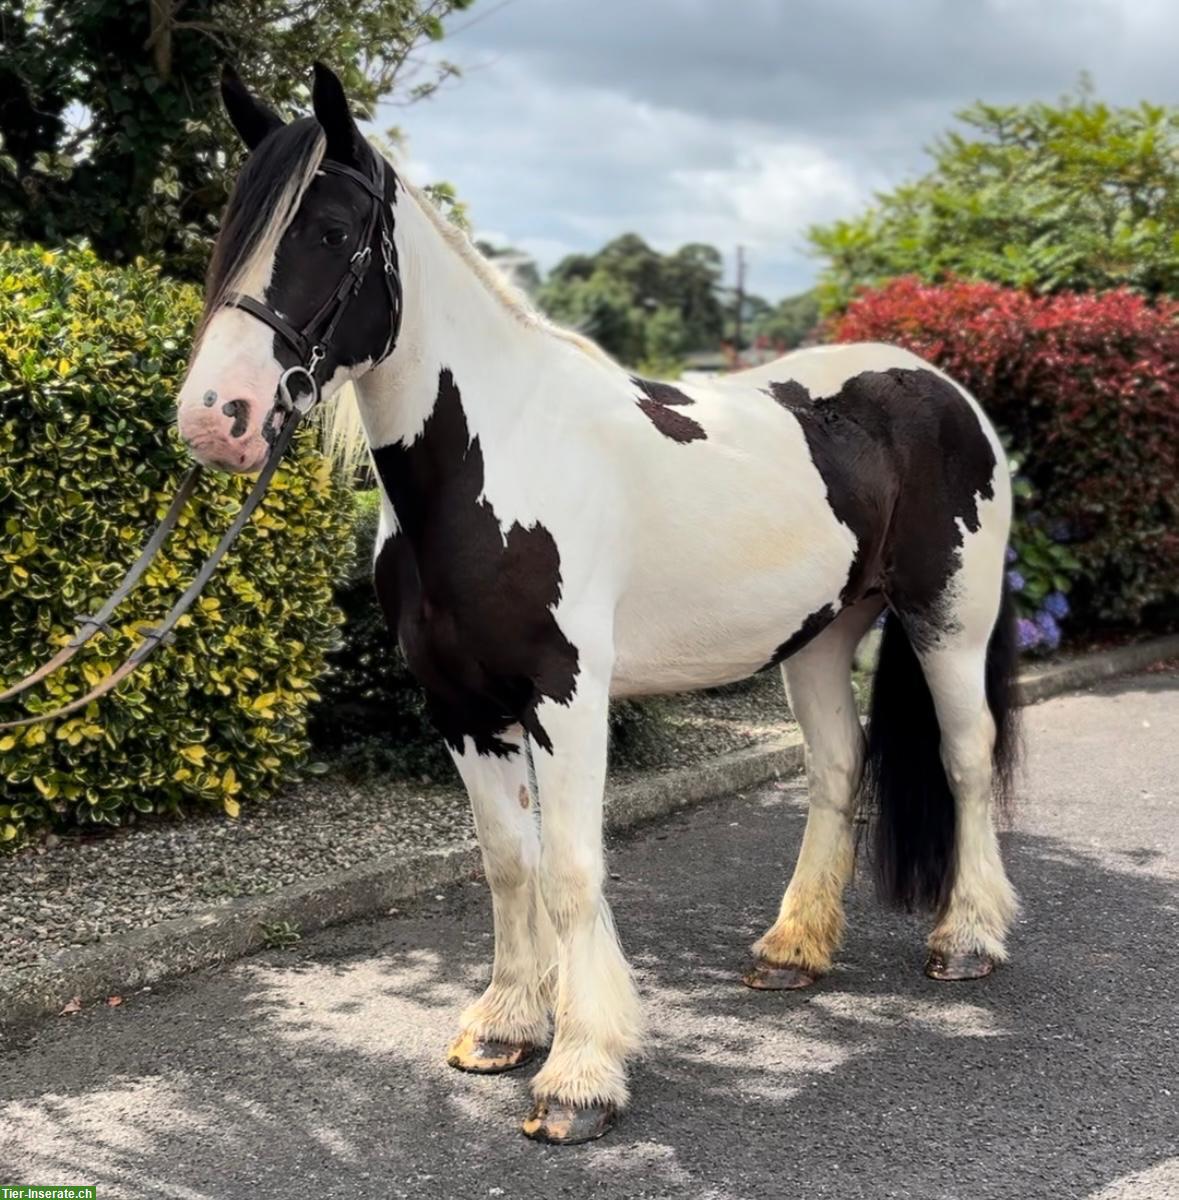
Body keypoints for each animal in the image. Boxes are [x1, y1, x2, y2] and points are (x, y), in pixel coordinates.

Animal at [177, 63, 1022, 1142]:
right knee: (838, 768)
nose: (218, 417)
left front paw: (579, 1073)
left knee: (966, 759)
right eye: (233, 230)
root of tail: (948, 395)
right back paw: (791, 950)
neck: (491, 461)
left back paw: (969, 938)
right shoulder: (460, 709)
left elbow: (573, 868)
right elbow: (508, 862)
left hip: (947, 620)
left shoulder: (565, 697)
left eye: (328, 231)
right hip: (823, 635)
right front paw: (504, 1026)